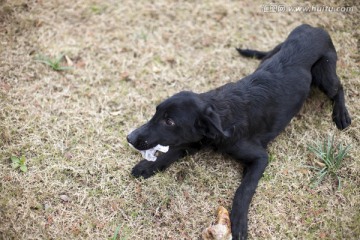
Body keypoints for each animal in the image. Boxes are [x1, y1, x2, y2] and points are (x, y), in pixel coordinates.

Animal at [127, 24, 352, 240]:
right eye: (156, 112)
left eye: (169, 121)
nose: (129, 138)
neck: (223, 117)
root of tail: (313, 28)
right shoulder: (197, 140)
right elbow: (172, 151)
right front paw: (148, 166)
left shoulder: (260, 157)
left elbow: (244, 190)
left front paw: (239, 221)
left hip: (324, 75)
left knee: (339, 87)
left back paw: (341, 114)